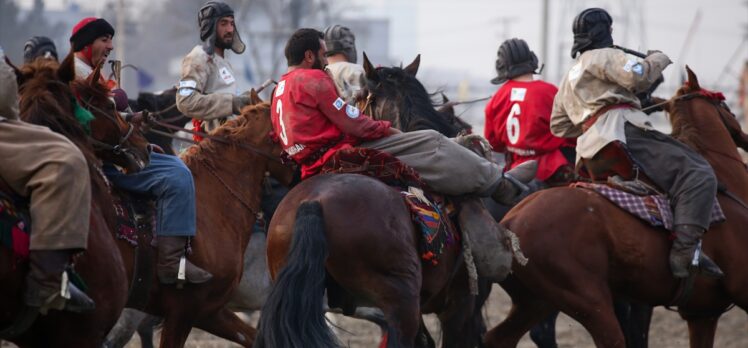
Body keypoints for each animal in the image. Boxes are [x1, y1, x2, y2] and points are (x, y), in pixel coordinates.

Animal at [486, 66, 748, 348]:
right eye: (726, 106)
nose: (744, 136)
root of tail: (510, 224)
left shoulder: (702, 314)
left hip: (536, 303)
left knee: (500, 338)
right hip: (589, 303)